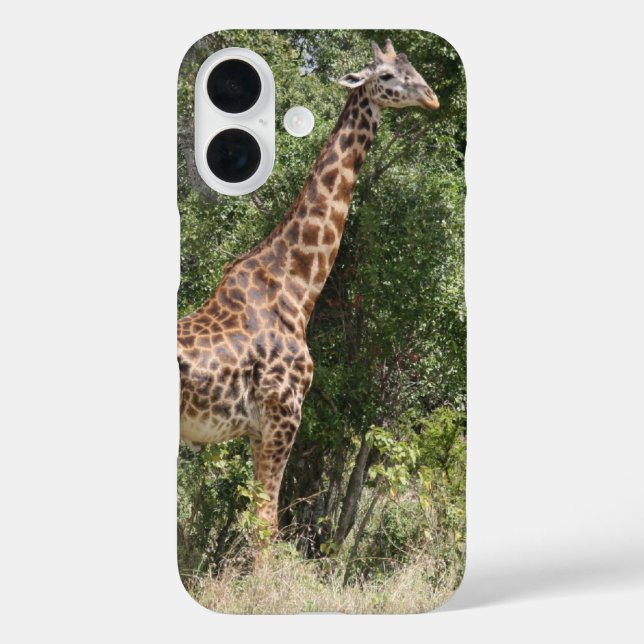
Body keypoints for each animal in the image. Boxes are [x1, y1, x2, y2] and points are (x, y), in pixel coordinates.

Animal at [178, 39, 439, 536]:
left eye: (413, 68)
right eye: (388, 77)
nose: (432, 97)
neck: (296, 290)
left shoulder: (258, 430)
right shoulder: (283, 416)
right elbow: (265, 525)